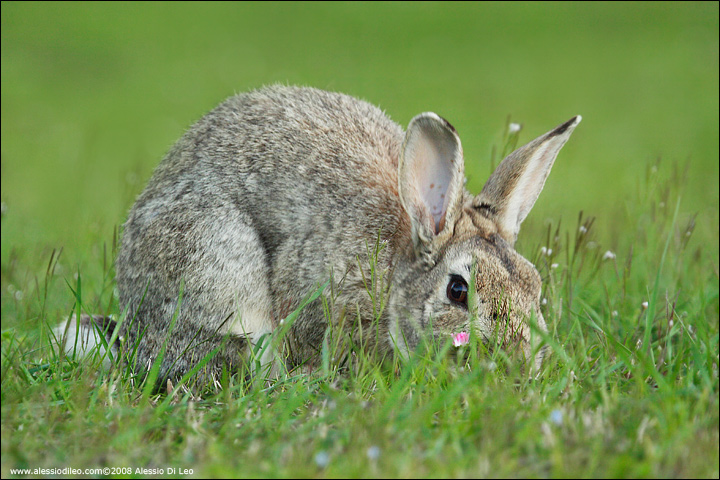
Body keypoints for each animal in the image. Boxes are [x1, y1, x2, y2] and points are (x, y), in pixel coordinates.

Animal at [54, 85, 580, 386]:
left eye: (534, 286)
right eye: (457, 290)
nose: (517, 362)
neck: (394, 273)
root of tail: (132, 326)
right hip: (214, 270)